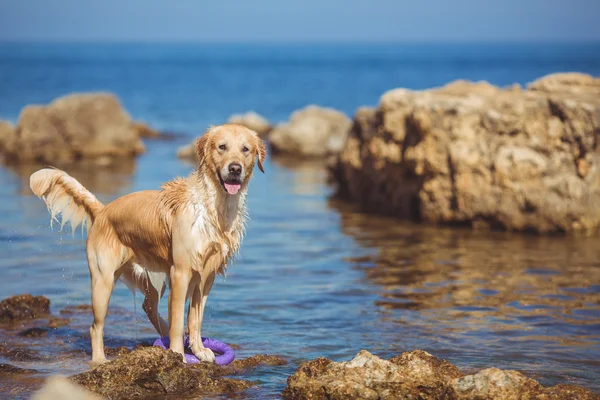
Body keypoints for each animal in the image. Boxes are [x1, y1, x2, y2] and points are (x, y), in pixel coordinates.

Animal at [29, 124, 266, 362]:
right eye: (222, 147)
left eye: (245, 149)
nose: (235, 169)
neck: (214, 207)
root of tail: (103, 211)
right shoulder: (181, 272)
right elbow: (179, 320)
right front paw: (179, 354)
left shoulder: (206, 275)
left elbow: (195, 318)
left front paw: (199, 350)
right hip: (103, 281)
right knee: (96, 327)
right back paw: (99, 360)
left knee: (148, 306)